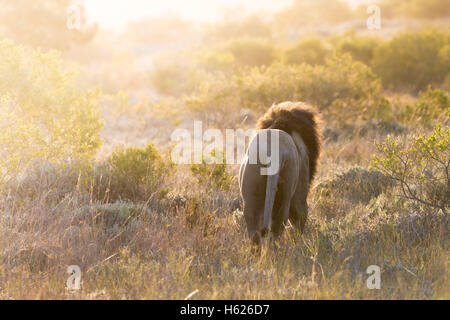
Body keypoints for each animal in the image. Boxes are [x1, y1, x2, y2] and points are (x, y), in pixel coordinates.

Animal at [239, 102, 320, 245]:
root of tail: (272, 152)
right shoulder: (300, 189)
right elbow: (301, 214)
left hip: (250, 196)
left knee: (254, 233)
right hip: (286, 192)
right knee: (278, 228)